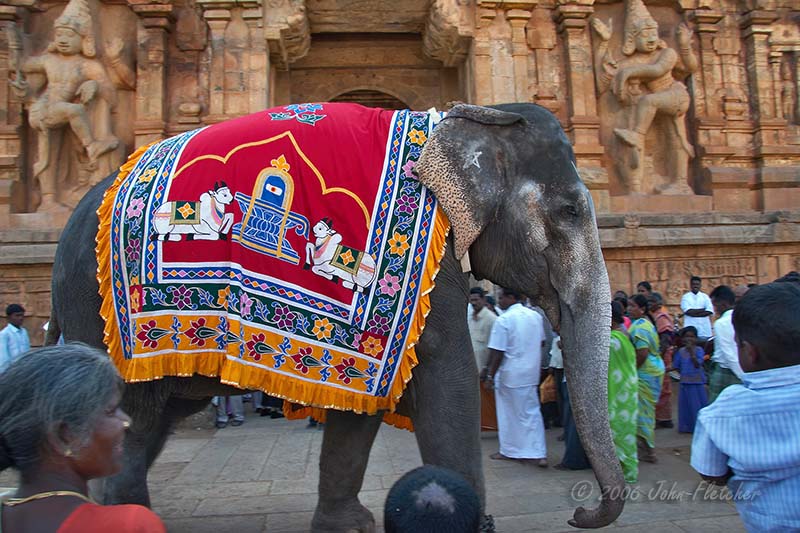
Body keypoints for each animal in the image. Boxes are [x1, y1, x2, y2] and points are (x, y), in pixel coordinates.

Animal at [48, 102, 624, 528]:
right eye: (570, 210)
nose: (578, 513)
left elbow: (360, 401)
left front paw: (349, 527)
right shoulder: (429, 272)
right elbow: (449, 378)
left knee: (156, 417)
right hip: (95, 305)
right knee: (133, 414)